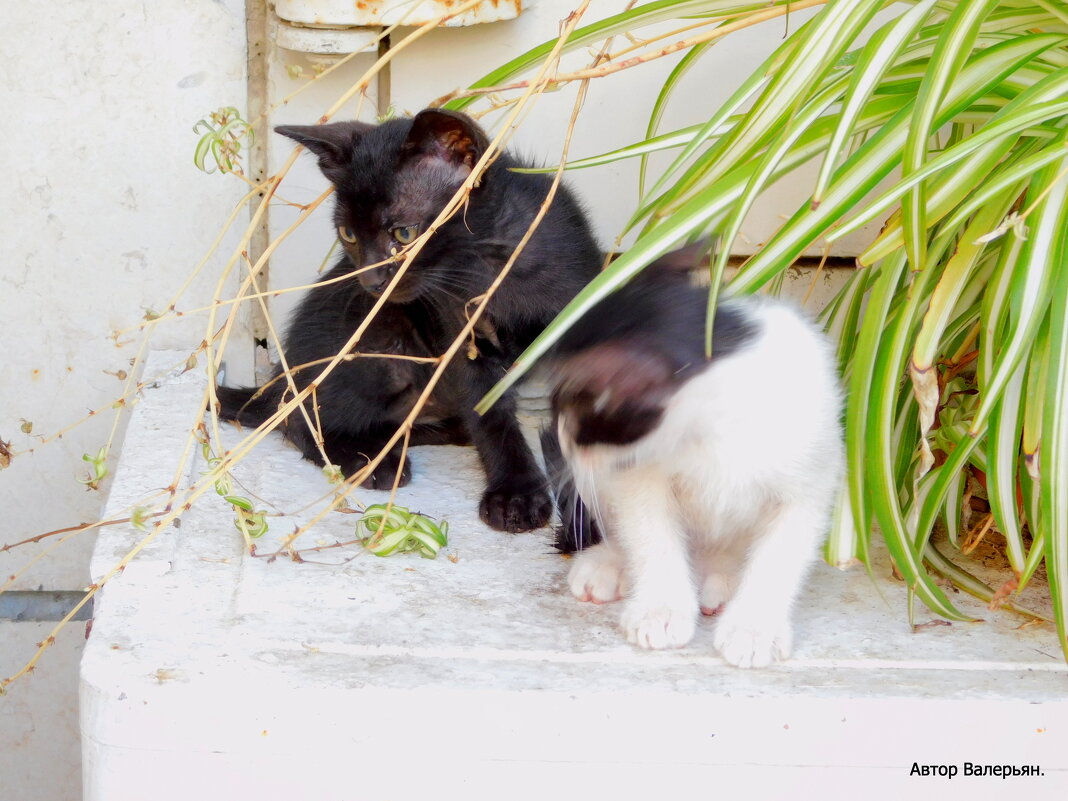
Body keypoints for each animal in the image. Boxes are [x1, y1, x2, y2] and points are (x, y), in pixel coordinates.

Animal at [216, 106, 602, 534]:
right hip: (378, 335)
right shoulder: (459, 336)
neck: (491, 261)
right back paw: (369, 461)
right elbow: (489, 412)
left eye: (404, 233)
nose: (370, 281)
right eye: (349, 234)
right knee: (298, 419)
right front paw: (515, 493)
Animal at [542, 246, 841, 670]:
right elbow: (651, 535)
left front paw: (754, 629)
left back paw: (722, 577)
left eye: (571, 413)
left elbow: (780, 557)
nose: (564, 439)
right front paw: (660, 611)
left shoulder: (812, 478)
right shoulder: (638, 474)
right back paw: (609, 563)